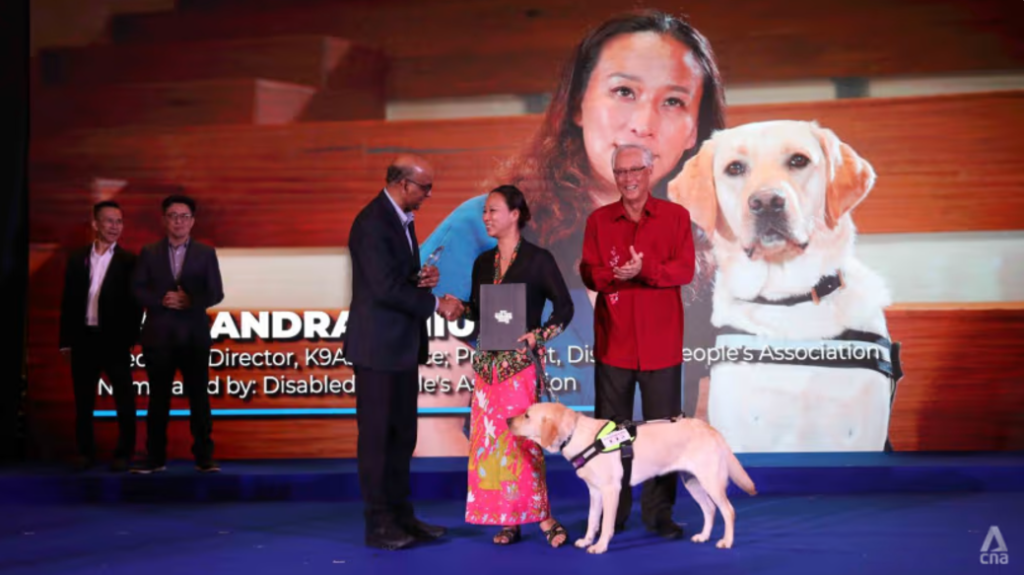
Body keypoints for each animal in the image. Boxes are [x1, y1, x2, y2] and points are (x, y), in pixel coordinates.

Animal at [507, 401, 757, 552]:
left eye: (527, 415)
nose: (508, 420)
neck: (576, 435)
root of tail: (711, 429)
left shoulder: (611, 490)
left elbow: (606, 523)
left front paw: (600, 546)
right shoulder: (595, 492)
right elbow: (592, 520)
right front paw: (587, 540)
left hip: (710, 481)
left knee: (728, 511)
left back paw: (727, 541)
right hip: (692, 482)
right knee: (710, 509)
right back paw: (704, 536)